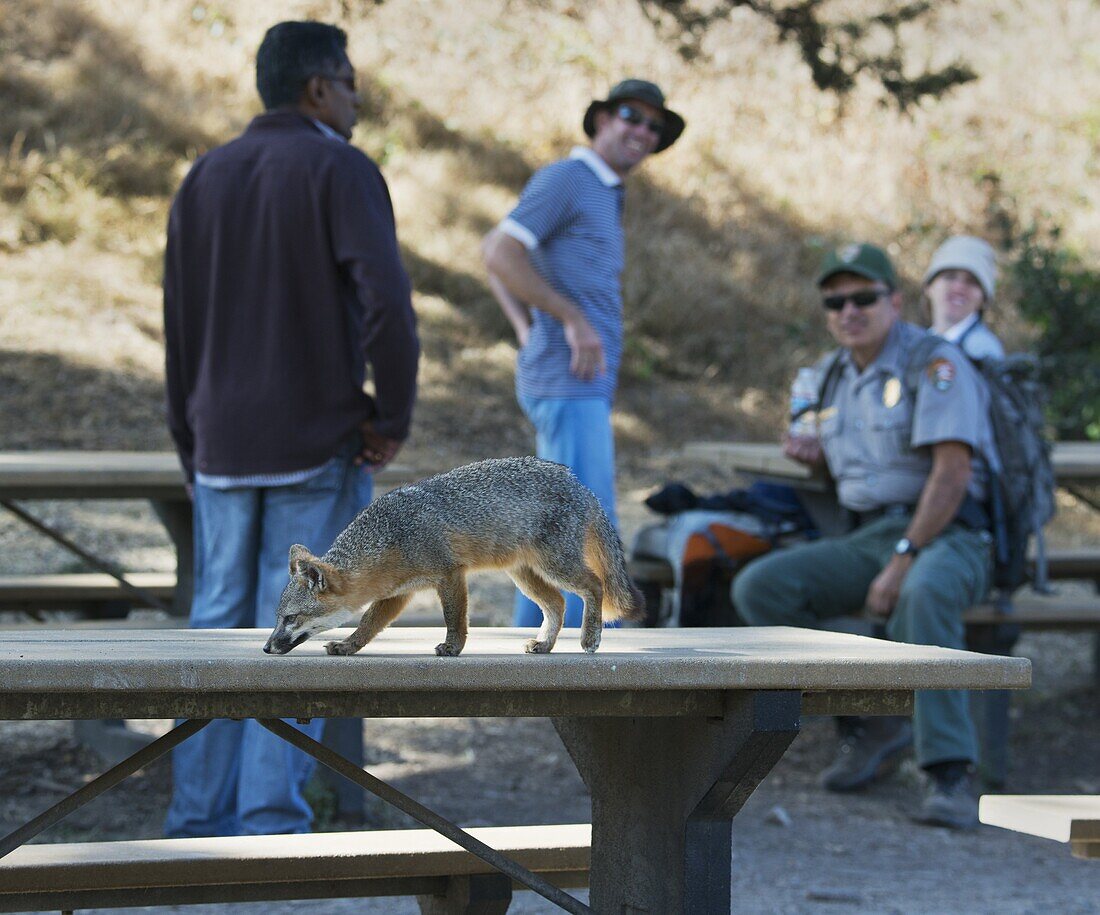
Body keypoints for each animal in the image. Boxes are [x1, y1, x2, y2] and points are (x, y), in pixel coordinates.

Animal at [261, 457, 642, 659]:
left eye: (291, 619)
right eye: (278, 618)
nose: (266, 647)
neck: (390, 534)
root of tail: (581, 484)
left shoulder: (449, 573)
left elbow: (454, 617)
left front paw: (453, 647)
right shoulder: (398, 594)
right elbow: (368, 625)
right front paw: (348, 646)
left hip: (556, 565)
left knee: (594, 585)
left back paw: (590, 638)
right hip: (526, 575)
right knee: (558, 603)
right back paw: (545, 644)